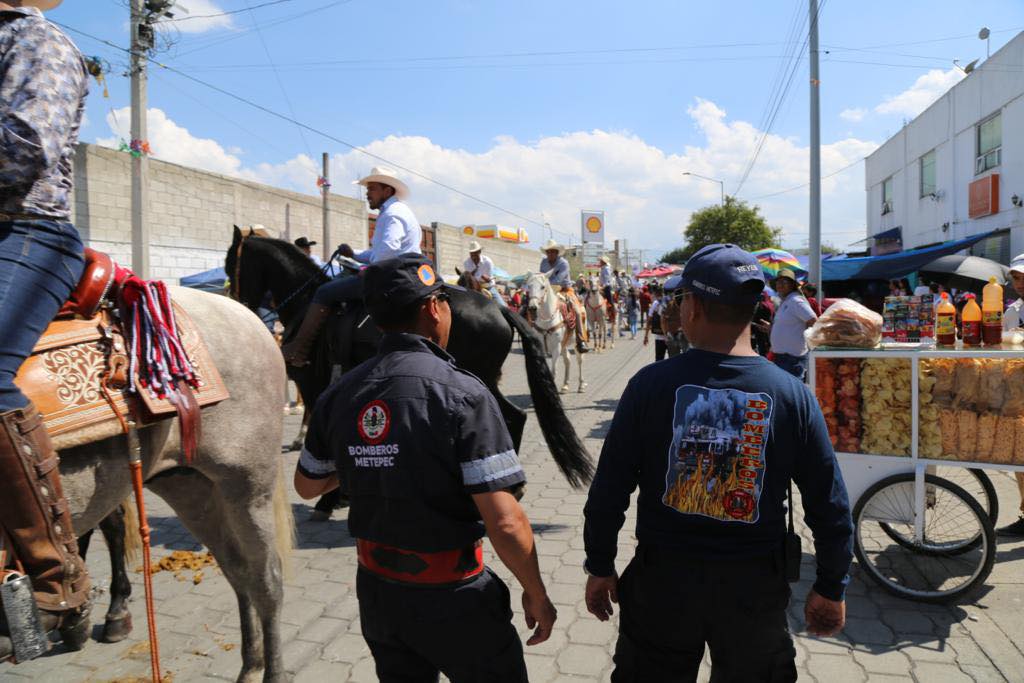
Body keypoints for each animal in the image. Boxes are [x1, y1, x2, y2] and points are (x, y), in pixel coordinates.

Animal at [58, 286, 292, 683]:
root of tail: (244, 313)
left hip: (246, 489)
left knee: (267, 581)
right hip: (191, 489)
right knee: (238, 570)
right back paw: (249, 666)